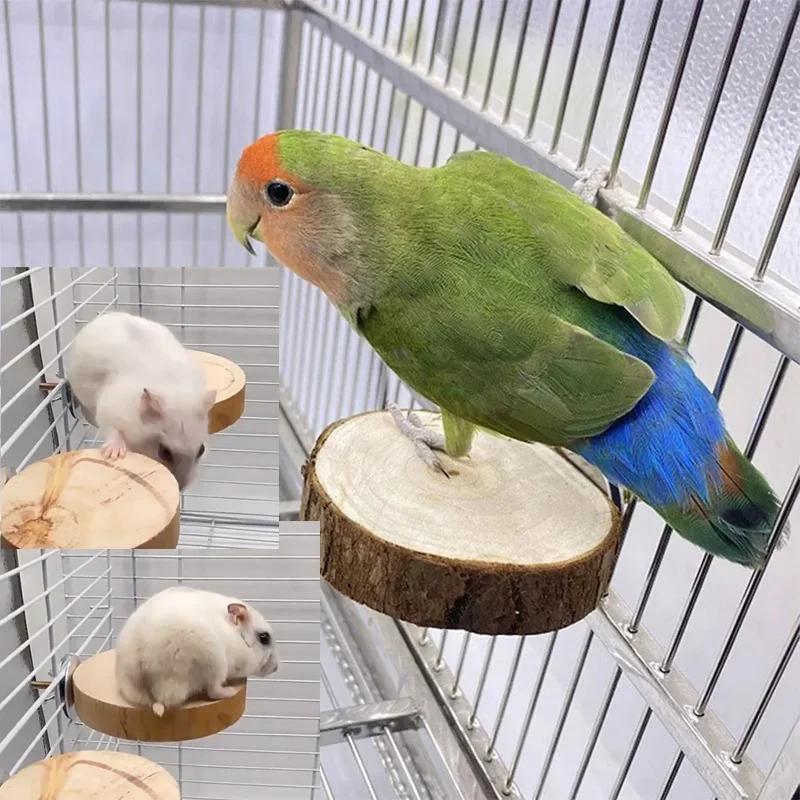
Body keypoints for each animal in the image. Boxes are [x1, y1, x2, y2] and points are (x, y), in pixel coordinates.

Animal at [66, 311, 216, 489]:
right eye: (164, 452)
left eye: (201, 450)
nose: (181, 488)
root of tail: (109, 314)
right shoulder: (109, 410)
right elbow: (112, 430)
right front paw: (114, 454)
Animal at [115, 586, 279, 717]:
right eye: (264, 637)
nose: (276, 668)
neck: (235, 636)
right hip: (214, 664)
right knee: (213, 691)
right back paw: (230, 690)